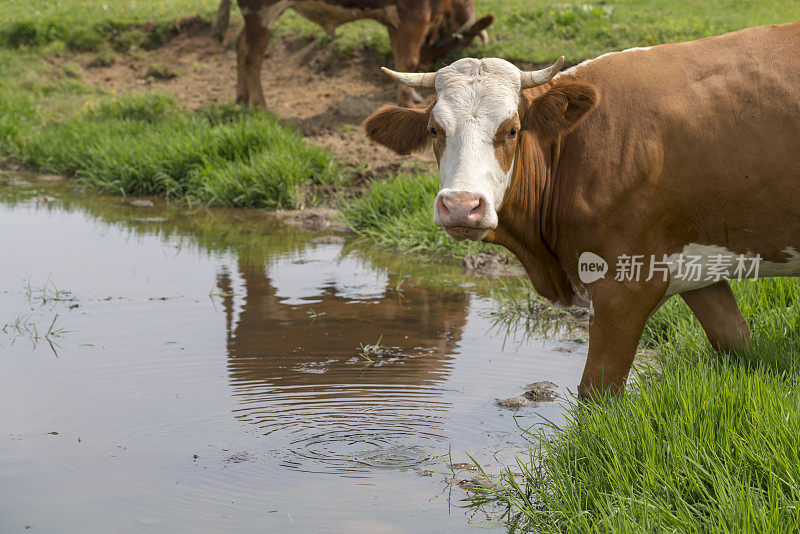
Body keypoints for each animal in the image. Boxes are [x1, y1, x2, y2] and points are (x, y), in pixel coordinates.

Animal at [212, 0, 490, 108]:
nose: (428, 64)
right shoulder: (415, 17)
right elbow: (407, 60)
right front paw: (408, 102)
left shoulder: (396, 24)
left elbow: (399, 60)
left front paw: (410, 95)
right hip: (261, 12)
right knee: (252, 56)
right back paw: (260, 105)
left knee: (240, 47)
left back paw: (242, 98)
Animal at [366, 22, 800, 398]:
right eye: (434, 130)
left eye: (511, 129)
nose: (461, 206)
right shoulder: (700, 271)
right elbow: (737, 341)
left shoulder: (624, 286)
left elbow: (597, 391)